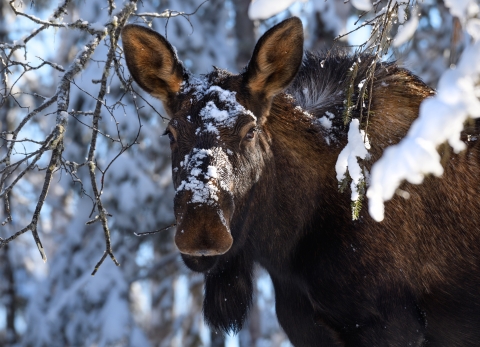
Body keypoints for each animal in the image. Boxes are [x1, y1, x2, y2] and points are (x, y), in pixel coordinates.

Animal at [122, 17, 480, 347]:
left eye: (250, 131)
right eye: (171, 133)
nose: (202, 230)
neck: (289, 246)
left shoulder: (392, 324)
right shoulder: (302, 326)